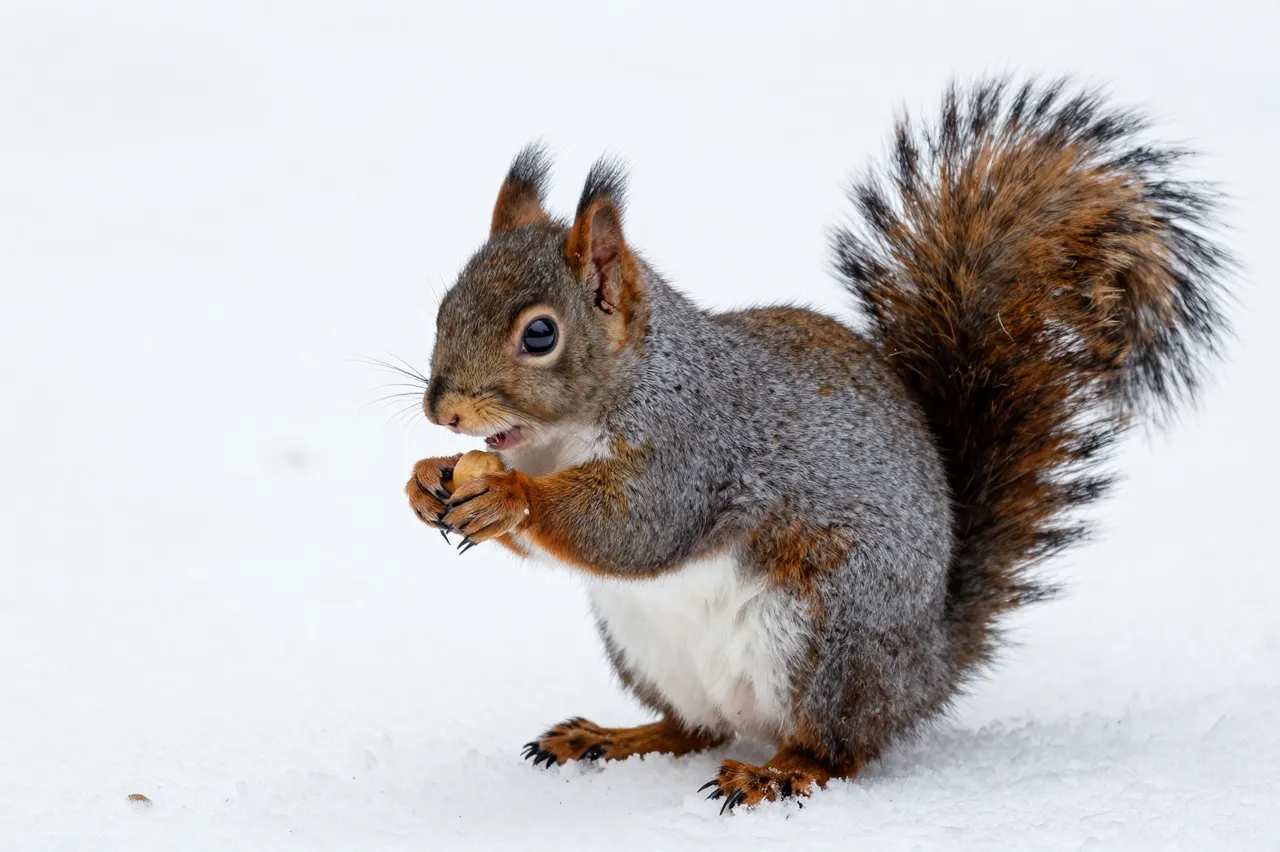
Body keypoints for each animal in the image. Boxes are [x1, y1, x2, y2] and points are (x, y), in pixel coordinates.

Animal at [404, 79, 1232, 811]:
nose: (442, 410)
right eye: (445, 305)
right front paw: (426, 480)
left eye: (539, 334)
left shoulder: (694, 446)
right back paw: (613, 738)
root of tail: (926, 669)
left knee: (837, 749)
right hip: (645, 647)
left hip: (827, 633)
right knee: (694, 729)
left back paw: (776, 774)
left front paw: (506, 492)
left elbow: (637, 528)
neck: (568, 435)